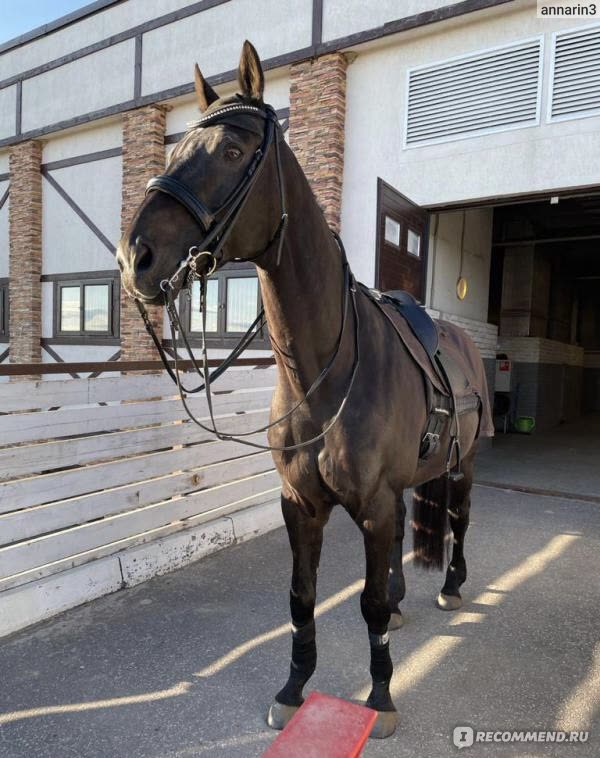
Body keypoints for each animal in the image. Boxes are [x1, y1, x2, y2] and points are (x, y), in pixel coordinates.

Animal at [117, 41, 491, 739]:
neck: (326, 372)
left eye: (232, 150)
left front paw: (381, 697)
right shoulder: (302, 504)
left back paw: (452, 585)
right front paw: (293, 688)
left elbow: (366, 604)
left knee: (458, 518)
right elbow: (302, 596)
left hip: (464, 464)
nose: (136, 259)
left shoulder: (371, 504)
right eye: (178, 149)